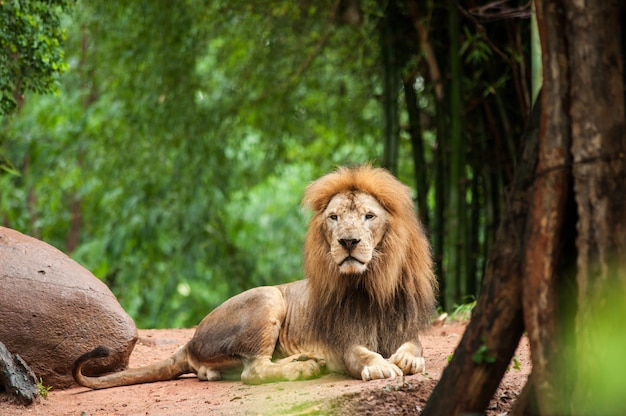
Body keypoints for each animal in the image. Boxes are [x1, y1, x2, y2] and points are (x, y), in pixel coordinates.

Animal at [72, 164, 434, 388]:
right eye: (334, 217)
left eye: (369, 216)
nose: (348, 241)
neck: (369, 283)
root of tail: (190, 341)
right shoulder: (343, 341)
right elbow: (361, 353)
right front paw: (380, 364)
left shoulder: (405, 324)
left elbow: (415, 346)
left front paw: (406, 358)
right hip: (268, 295)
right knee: (254, 370)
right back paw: (304, 366)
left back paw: (303, 359)